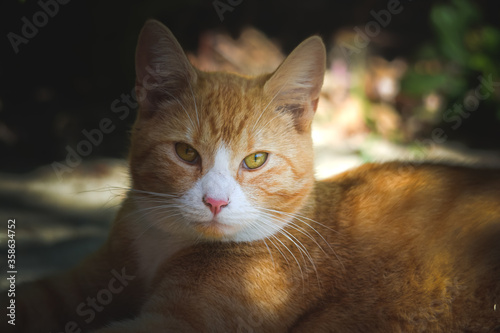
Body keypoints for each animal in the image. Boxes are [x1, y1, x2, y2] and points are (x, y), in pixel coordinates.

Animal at [6, 19, 500, 330]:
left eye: (257, 160)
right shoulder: (84, 279)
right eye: (185, 152)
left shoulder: (177, 323)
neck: (163, 246)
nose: (215, 202)